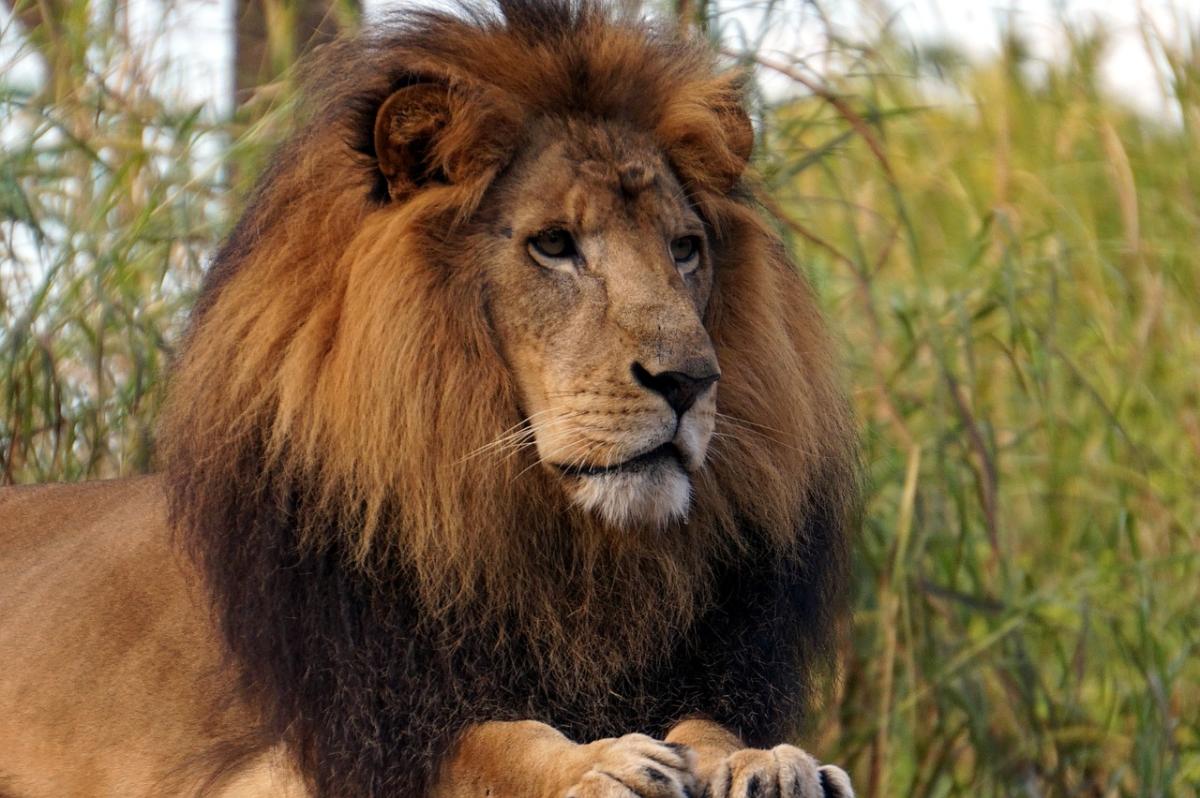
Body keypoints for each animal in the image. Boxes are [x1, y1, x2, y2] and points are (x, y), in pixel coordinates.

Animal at [0, 1, 860, 796]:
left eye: (684, 250)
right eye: (554, 244)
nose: (689, 381)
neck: (559, 555)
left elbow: (709, 722)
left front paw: (768, 760)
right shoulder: (298, 753)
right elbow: (487, 739)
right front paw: (598, 761)